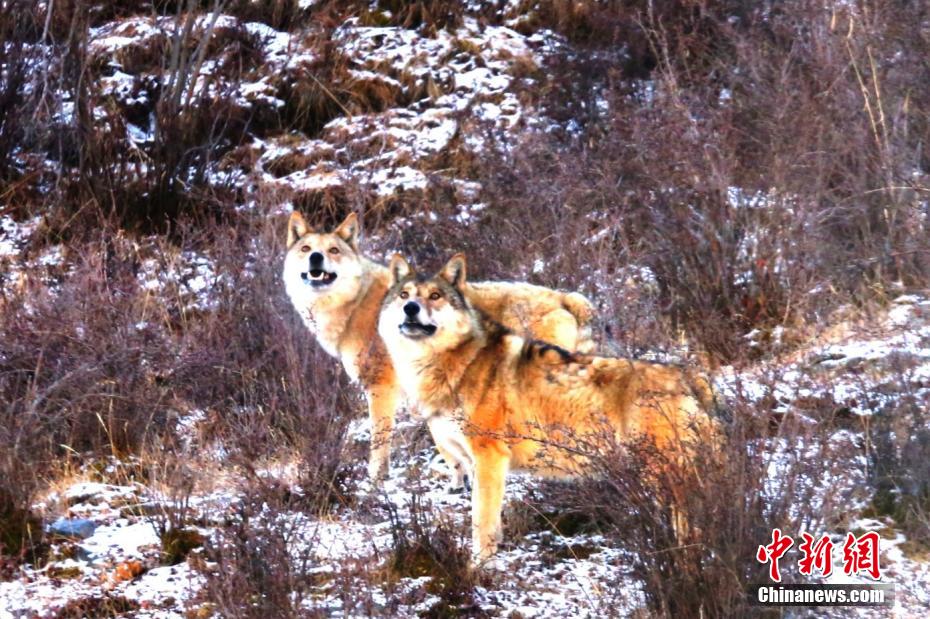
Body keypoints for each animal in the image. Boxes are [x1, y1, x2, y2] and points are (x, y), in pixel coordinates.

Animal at [280, 211, 596, 486]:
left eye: (333, 250)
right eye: (306, 248)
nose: (316, 257)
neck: (355, 305)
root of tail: (565, 298)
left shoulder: (381, 388)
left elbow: (380, 443)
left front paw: (375, 481)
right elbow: (446, 445)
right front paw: (459, 482)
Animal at [376, 253, 716, 560]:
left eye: (435, 296)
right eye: (405, 295)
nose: (410, 308)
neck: (453, 365)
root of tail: (693, 378)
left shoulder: (490, 456)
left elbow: (481, 523)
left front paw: (479, 567)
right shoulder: (473, 463)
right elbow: (489, 520)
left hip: (661, 477)